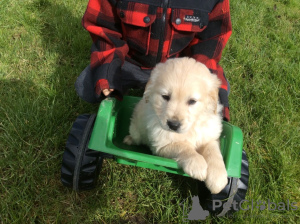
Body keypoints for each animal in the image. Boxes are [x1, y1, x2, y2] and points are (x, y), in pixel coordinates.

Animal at [123, 57, 226, 194]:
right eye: (165, 97)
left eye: (192, 101)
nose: (173, 124)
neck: (191, 128)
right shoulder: (162, 146)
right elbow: (183, 147)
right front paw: (198, 164)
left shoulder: (208, 136)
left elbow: (213, 152)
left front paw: (217, 178)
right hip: (135, 128)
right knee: (136, 137)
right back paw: (129, 140)